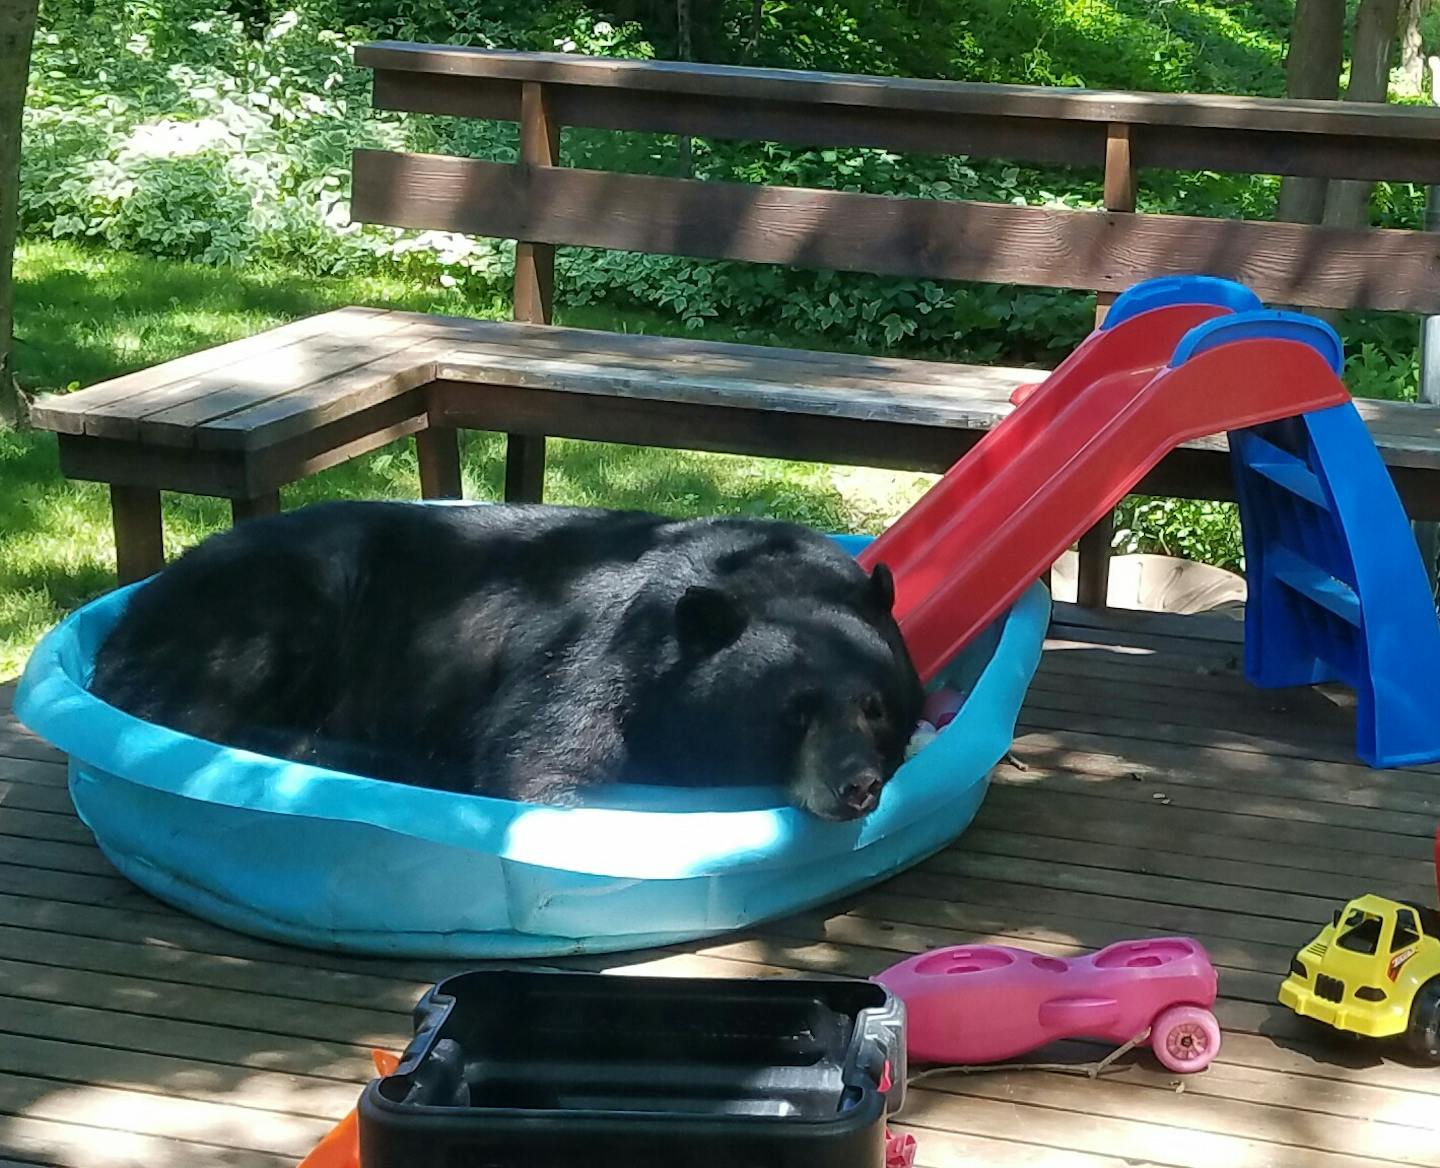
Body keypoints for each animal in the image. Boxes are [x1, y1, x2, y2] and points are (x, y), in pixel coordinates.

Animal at [92, 501, 921, 823]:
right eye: (793, 711)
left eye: (875, 704)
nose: (856, 784)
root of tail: (125, 622)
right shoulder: (594, 658)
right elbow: (538, 766)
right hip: (276, 599)